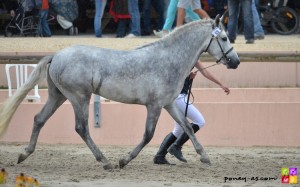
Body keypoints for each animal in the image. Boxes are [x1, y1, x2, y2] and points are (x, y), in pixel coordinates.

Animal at [0, 16, 239, 170]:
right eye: (224, 38)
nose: (235, 62)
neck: (169, 59)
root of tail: (56, 55)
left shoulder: (169, 103)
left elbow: (187, 126)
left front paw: (205, 157)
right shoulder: (154, 105)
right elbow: (148, 134)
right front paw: (124, 160)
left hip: (58, 96)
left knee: (39, 119)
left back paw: (23, 155)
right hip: (79, 97)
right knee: (81, 128)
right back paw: (105, 162)